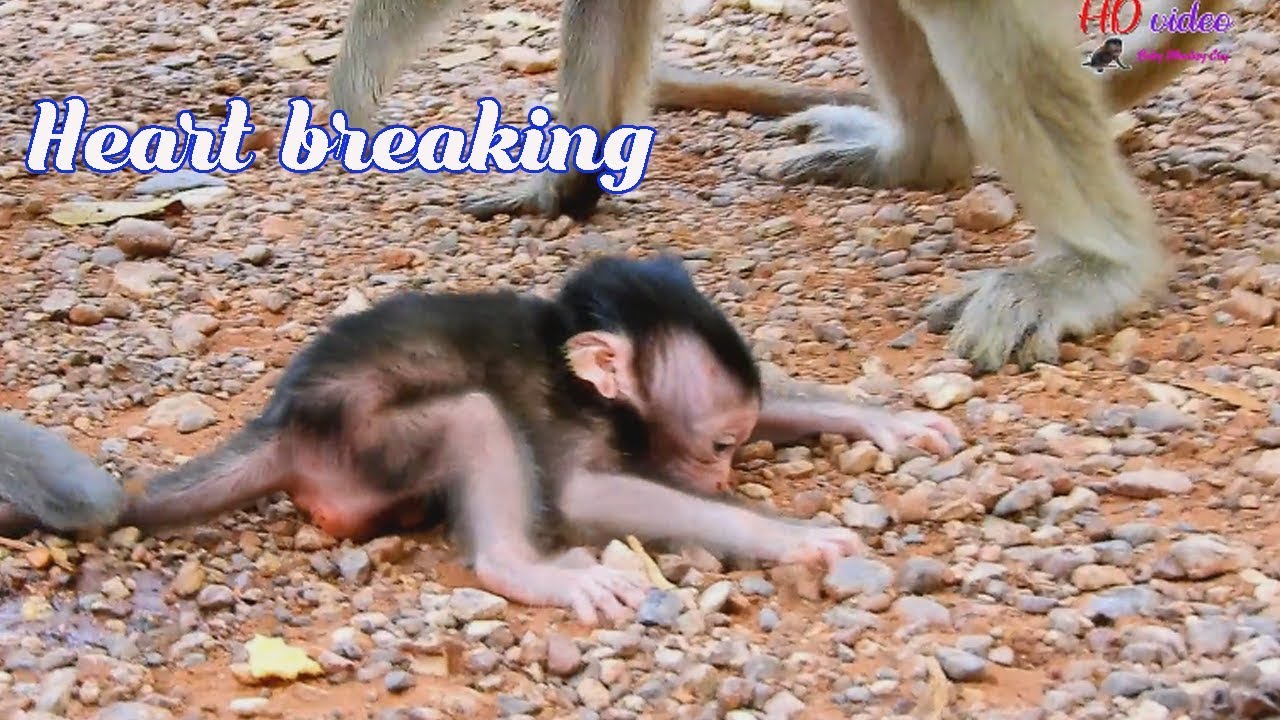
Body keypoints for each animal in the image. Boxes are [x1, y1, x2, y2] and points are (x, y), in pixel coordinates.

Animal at [0, 255, 962, 624]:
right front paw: (789, 537)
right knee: (471, 415)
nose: (720, 478)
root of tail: (281, 423)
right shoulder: (569, 413)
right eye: (721, 448)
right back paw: (524, 569)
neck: (580, 372)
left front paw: (881, 420)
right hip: (356, 443)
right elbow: (582, 492)